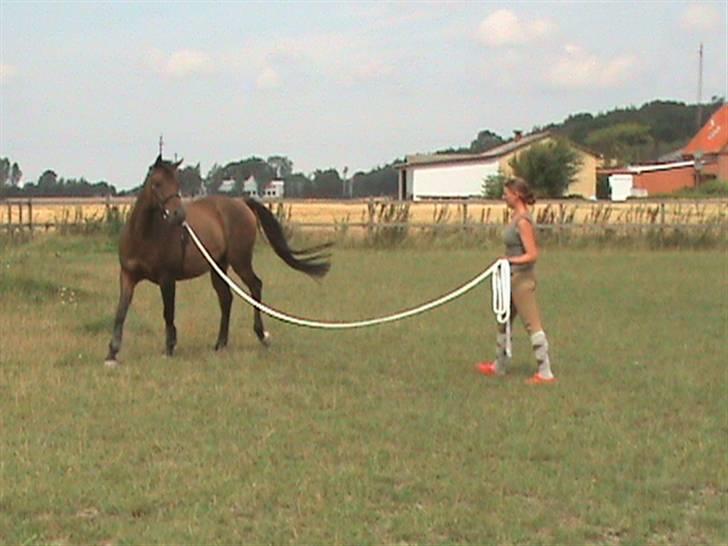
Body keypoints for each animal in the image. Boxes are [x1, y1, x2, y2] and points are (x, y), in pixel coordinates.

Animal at [104, 154, 332, 366]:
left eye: (177, 184)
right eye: (157, 183)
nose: (178, 215)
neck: (144, 235)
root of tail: (241, 203)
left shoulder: (166, 279)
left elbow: (168, 313)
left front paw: (169, 348)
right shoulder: (127, 276)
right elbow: (120, 312)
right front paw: (112, 353)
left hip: (240, 261)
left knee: (255, 286)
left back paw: (261, 335)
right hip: (219, 266)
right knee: (226, 298)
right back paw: (220, 343)